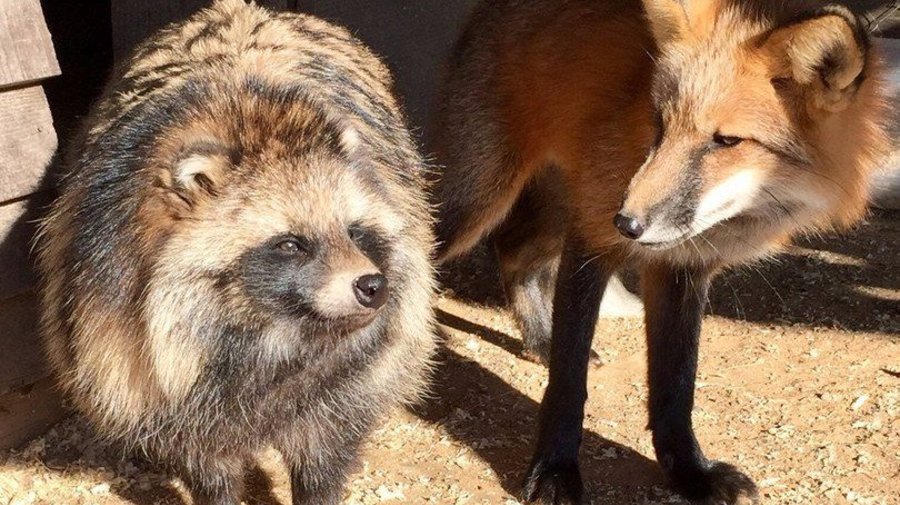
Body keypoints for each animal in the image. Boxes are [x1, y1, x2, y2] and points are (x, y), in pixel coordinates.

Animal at [36, 1, 436, 504]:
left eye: (354, 231)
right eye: (290, 244)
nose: (373, 286)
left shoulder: (352, 380)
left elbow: (325, 450)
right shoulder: (128, 351)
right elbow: (204, 463)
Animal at [432, 0, 888, 503]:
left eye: (727, 141)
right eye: (661, 123)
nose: (626, 223)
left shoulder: (680, 267)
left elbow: (675, 386)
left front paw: (689, 472)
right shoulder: (592, 238)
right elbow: (568, 383)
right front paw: (554, 470)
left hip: (559, 208)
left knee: (514, 254)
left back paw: (538, 341)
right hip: (478, 200)